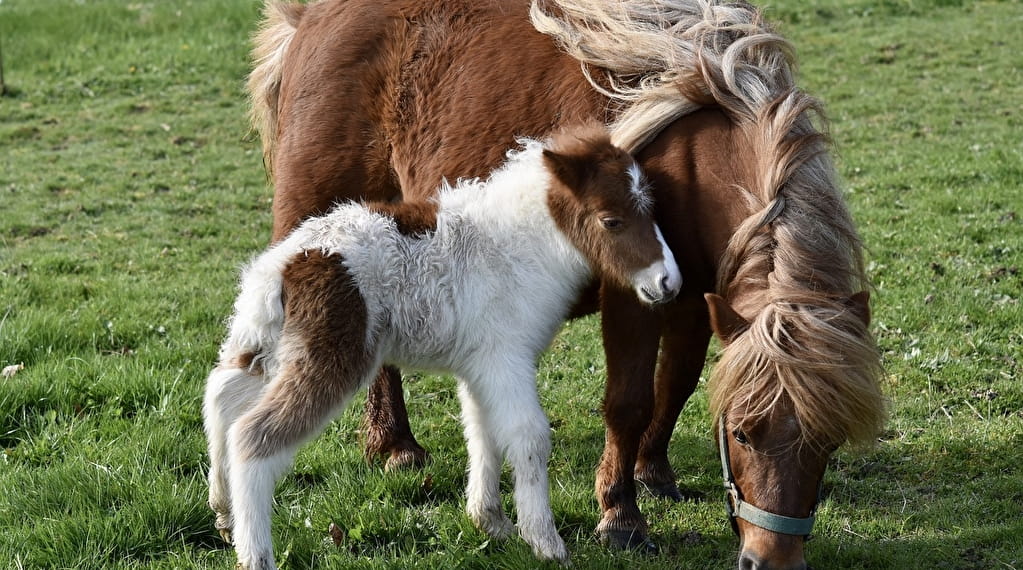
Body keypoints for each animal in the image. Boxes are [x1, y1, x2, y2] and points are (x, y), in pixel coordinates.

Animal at [201, 125, 679, 568]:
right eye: (610, 220)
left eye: (652, 209)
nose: (668, 282)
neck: (516, 247)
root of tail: (281, 267)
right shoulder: (507, 359)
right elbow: (529, 436)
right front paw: (545, 542)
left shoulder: (480, 367)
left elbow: (482, 432)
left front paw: (491, 522)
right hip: (333, 357)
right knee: (253, 436)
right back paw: (255, 553)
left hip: (264, 343)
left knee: (222, 394)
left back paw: (224, 514)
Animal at [247, 2, 887, 564]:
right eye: (744, 434)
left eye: (829, 442)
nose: (771, 559)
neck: (694, 151)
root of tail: (308, 19)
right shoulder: (635, 296)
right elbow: (629, 400)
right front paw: (621, 515)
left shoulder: (694, 297)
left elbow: (676, 383)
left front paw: (654, 471)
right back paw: (394, 446)